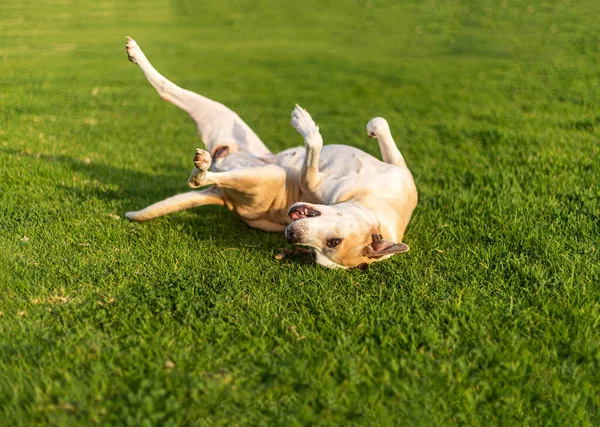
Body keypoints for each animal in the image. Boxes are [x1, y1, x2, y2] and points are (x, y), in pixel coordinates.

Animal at [123, 38, 418, 270]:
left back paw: (203, 167)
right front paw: (369, 129)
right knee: (168, 90)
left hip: (263, 172)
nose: (291, 236)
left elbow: (313, 146)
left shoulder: (310, 181)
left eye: (323, 248)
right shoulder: (398, 169)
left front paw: (306, 126)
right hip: (227, 121)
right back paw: (136, 54)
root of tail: (222, 198)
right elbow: (381, 122)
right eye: (334, 241)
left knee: (200, 174)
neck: (377, 202)